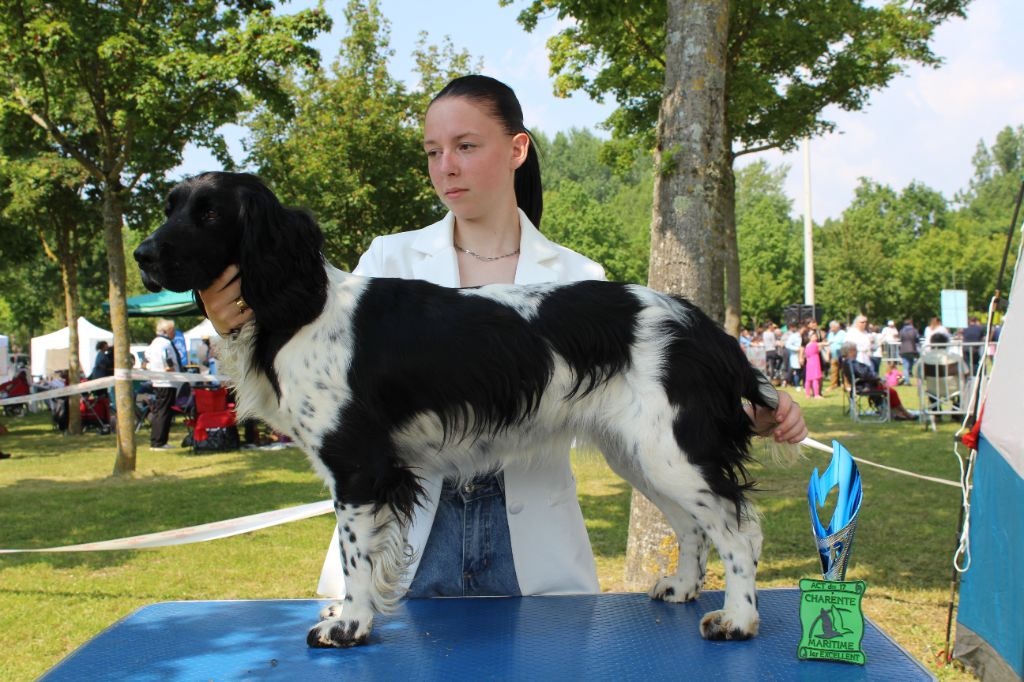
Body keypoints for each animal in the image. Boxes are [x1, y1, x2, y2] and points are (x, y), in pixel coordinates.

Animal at [136, 171, 782, 647]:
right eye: (172, 206)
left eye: (210, 214)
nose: (142, 253)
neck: (302, 305)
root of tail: (706, 328)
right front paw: (350, 612)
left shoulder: (359, 467)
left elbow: (355, 554)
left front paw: (349, 624)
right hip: (642, 454)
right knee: (692, 525)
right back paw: (681, 587)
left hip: (672, 452)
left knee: (738, 529)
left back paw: (739, 619)